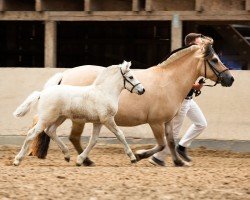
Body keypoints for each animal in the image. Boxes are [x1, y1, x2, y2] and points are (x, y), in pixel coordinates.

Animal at [13, 60, 146, 166]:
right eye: (131, 77)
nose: (142, 90)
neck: (104, 92)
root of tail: (42, 93)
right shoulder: (107, 119)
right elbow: (120, 135)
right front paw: (133, 158)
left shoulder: (98, 122)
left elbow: (93, 140)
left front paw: (80, 160)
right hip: (47, 118)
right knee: (32, 134)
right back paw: (17, 160)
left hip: (60, 118)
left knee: (50, 131)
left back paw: (67, 155)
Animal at [29, 39, 234, 166]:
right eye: (215, 59)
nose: (230, 79)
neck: (169, 81)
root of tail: (65, 74)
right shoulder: (156, 122)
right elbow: (161, 144)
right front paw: (140, 154)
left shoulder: (167, 121)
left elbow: (171, 141)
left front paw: (178, 162)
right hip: (77, 118)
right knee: (73, 137)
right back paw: (85, 160)